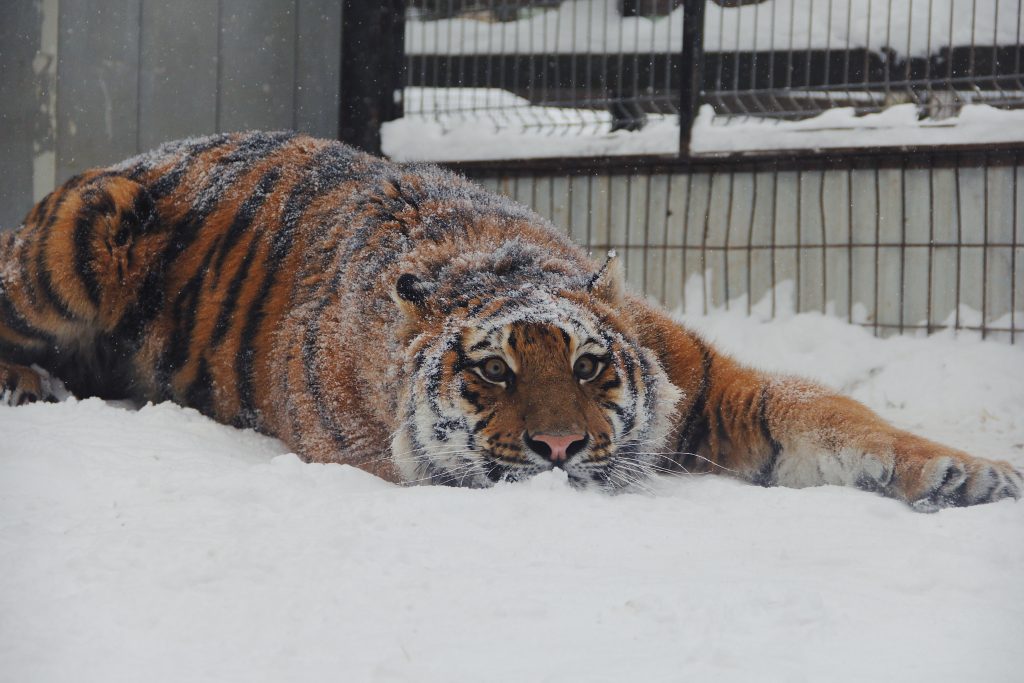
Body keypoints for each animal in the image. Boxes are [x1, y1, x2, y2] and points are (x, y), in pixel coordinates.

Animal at [0, 131, 1020, 511]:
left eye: (592, 367)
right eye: (492, 371)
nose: (560, 449)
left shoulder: (713, 383)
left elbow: (832, 414)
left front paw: (966, 472)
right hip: (81, 229)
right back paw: (27, 383)